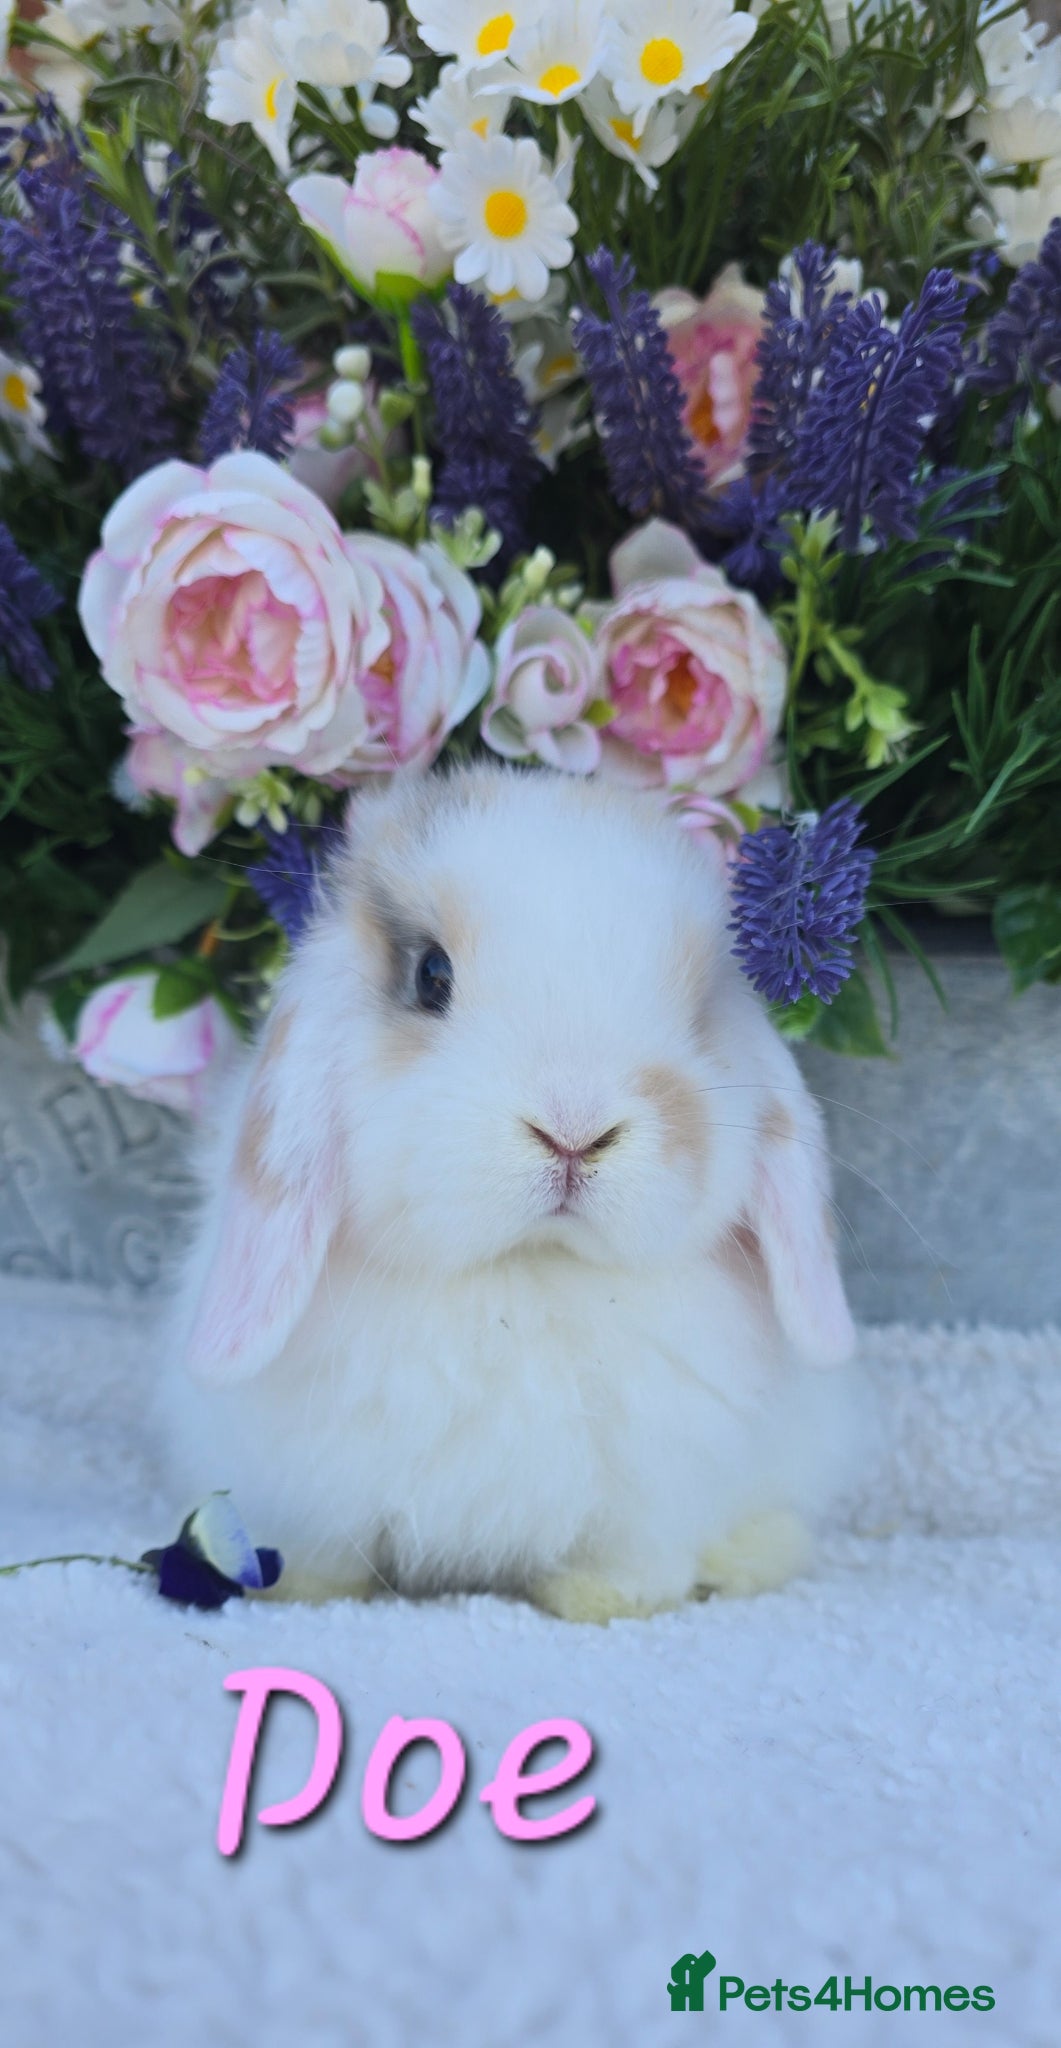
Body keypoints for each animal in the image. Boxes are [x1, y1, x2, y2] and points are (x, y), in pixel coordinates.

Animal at [161, 762, 861, 1621]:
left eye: (701, 1008)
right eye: (431, 975)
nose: (574, 1129)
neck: (525, 1273)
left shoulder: (656, 1493)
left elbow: (635, 1557)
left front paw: (604, 1599)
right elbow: (323, 1555)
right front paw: (305, 1595)